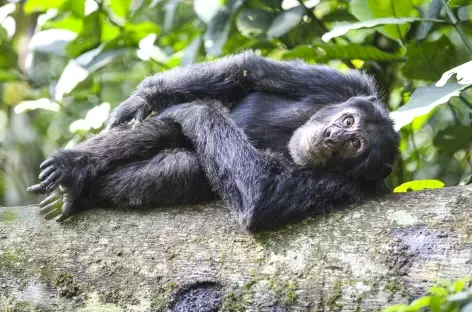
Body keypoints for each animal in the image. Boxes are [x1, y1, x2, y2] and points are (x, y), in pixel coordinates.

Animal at [27, 51, 398, 232]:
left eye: (355, 146)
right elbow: (249, 71)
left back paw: (80, 194)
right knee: (165, 129)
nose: (335, 136)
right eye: (348, 121)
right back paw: (71, 169)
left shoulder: (346, 191)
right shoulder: (343, 84)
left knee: (184, 162)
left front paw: (195, 108)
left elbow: (262, 195)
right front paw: (142, 100)